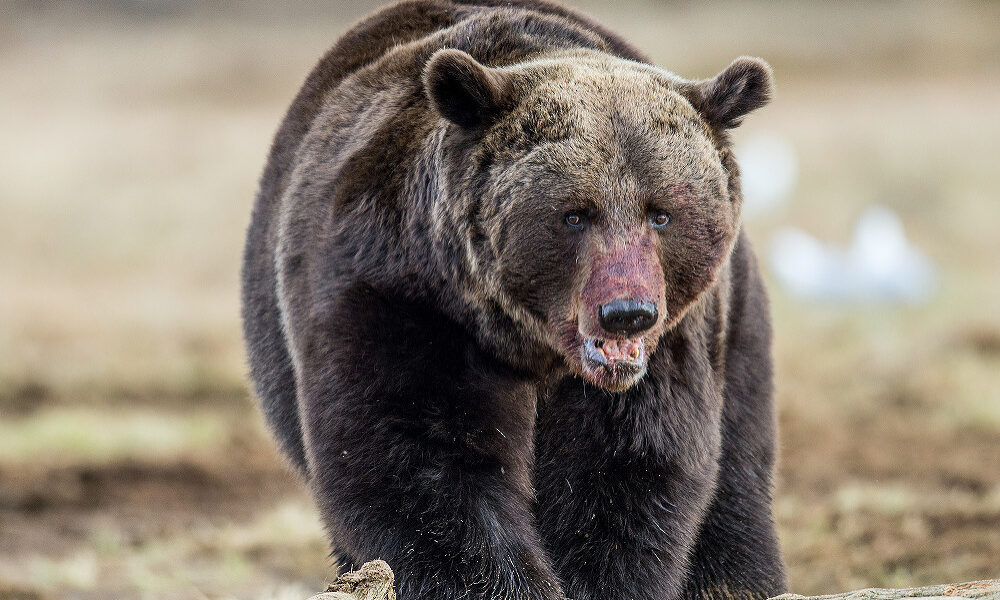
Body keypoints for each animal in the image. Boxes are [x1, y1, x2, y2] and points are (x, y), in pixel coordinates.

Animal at [240, 1, 780, 600]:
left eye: (660, 212)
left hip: (738, 331)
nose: (626, 314)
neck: (530, 345)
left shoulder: (671, 344)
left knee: (737, 479)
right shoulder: (399, 295)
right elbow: (420, 460)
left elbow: (625, 469)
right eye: (575, 213)